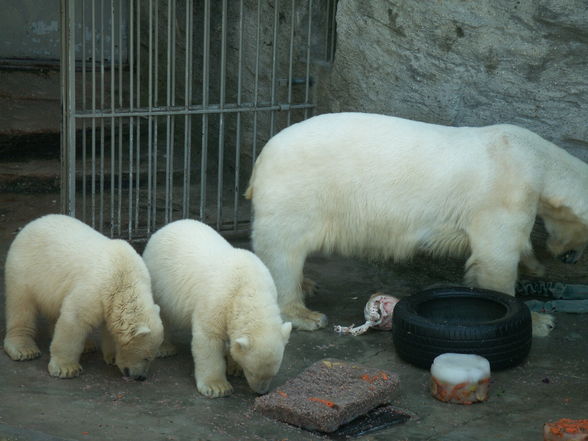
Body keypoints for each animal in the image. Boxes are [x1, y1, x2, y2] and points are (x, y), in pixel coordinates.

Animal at [3, 213, 164, 378]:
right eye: (146, 357)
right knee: (21, 306)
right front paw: (66, 369)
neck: (123, 276)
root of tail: (31, 224)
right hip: (24, 270)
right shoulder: (95, 289)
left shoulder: (110, 300)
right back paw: (24, 349)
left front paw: (112, 357)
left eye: (152, 357)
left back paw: (87, 345)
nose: (141, 377)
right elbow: (74, 319)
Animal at [142, 218, 290, 398]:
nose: (262, 392)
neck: (248, 287)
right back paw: (165, 349)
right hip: (160, 279)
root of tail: (166, 227)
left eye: (273, 373)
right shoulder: (217, 300)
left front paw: (235, 367)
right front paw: (217, 387)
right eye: (252, 371)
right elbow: (209, 339)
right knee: (162, 313)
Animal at [245, 111, 588, 336]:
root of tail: (263, 156)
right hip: (299, 189)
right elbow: (496, 259)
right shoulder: (504, 193)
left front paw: (535, 267)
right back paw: (305, 314)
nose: (569, 257)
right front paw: (540, 321)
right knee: (283, 250)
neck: (536, 159)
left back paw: (307, 284)